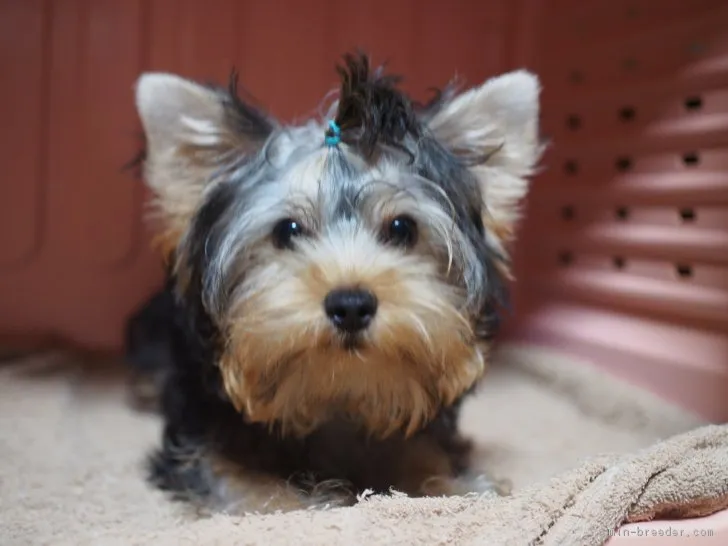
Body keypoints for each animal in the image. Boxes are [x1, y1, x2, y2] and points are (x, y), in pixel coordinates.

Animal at [129, 53, 540, 512]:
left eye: (402, 229)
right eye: (287, 231)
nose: (351, 305)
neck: (336, 390)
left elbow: (416, 447)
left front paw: (458, 485)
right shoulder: (200, 440)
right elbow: (246, 482)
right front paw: (309, 500)